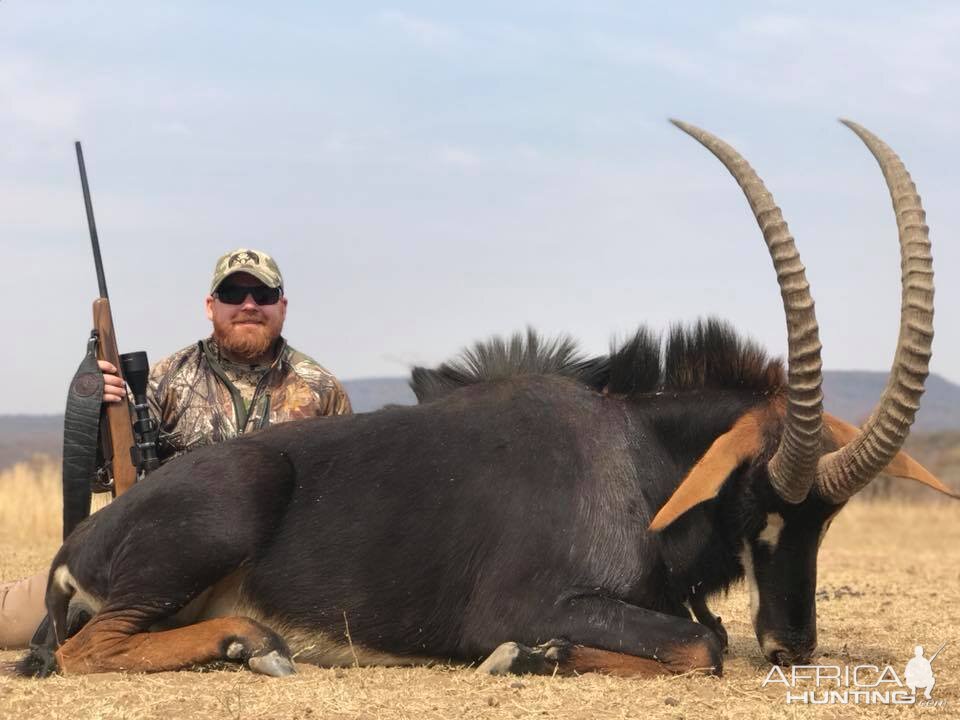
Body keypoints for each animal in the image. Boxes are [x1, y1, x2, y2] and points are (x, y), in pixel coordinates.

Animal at [15, 119, 952, 680]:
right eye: (757, 501)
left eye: (825, 519)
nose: (793, 645)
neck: (636, 459)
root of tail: (81, 540)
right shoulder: (529, 601)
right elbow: (703, 643)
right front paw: (533, 655)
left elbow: (703, 633)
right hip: (229, 507)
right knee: (87, 649)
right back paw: (253, 640)